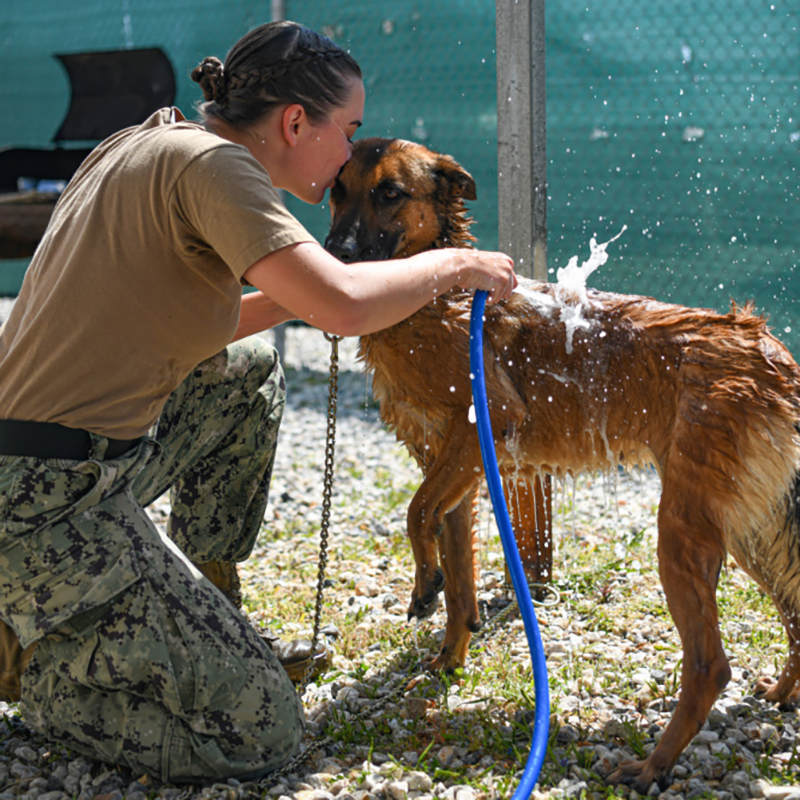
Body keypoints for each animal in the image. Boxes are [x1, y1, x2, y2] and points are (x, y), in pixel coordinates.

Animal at [322, 138, 800, 788]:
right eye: (337, 190)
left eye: (390, 193)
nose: (334, 254)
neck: (436, 291)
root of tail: (768, 350)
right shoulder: (460, 471)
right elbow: (458, 571)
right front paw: (449, 658)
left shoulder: (485, 428)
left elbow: (416, 515)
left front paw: (422, 586)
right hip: (749, 531)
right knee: (794, 615)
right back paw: (780, 695)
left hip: (685, 532)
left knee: (710, 665)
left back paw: (653, 765)